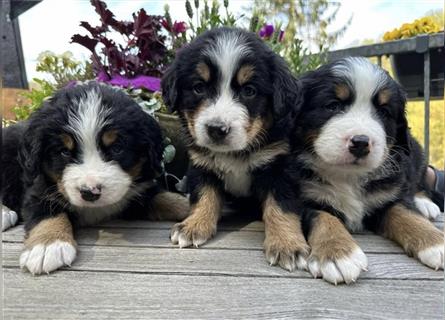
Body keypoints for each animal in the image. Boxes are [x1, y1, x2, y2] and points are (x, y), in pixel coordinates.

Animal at [0, 82, 187, 276]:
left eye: (117, 148)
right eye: (64, 151)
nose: (90, 192)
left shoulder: (137, 195)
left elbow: (167, 198)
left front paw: (191, 213)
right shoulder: (38, 189)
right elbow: (46, 212)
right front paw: (47, 245)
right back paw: (5, 214)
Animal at [161, 28, 310, 272]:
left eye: (249, 90)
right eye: (199, 88)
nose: (216, 129)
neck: (234, 153)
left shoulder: (279, 165)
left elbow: (281, 206)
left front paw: (287, 244)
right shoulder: (201, 164)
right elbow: (204, 196)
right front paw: (194, 225)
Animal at [294, 57, 442, 284]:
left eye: (383, 112)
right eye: (333, 105)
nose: (361, 142)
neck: (347, 175)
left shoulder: (389, 196)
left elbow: (407, 214)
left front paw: (435, 242)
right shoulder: (303, 198)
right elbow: (324, 218)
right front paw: (337, 253)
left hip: (416, 153)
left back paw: (425, 203)